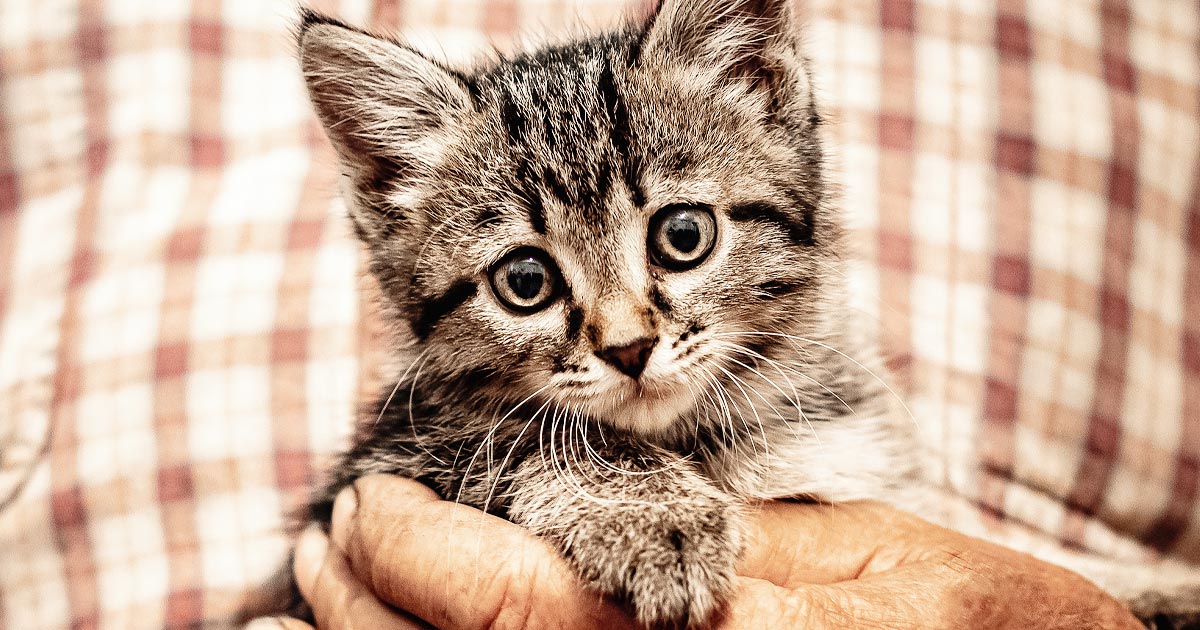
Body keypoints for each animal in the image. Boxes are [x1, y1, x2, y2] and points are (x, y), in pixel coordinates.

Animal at [250, 0, 1190, 619]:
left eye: (683, 236)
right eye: (525, 282)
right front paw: (654, 517)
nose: (629, 348)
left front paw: (1139, 583)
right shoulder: (385, 461)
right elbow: (520, 437)